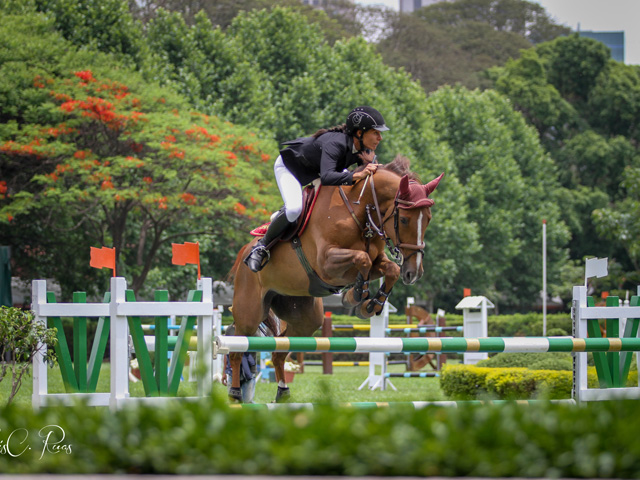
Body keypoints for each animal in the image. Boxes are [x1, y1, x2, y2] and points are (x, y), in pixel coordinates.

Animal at [228, 156, 442, 404]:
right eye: (405, 220)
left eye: (428, 219)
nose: (414, 272)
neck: (359, 211)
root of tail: (244, 250)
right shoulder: (327, 264)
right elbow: (362, 260)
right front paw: (356, 295)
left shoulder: (377, 259)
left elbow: (389, 269)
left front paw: (370, 304)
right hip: (249, 314)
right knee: (236, 349)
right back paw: (235, 394)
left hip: (305, 318)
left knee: (279, 351)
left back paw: (283, 393)